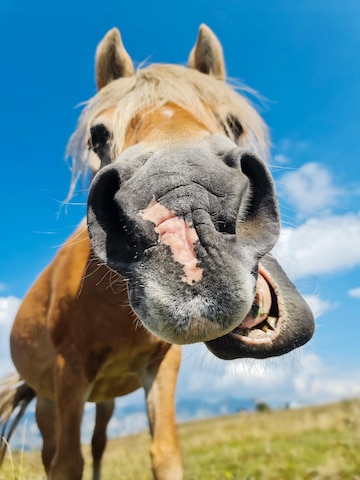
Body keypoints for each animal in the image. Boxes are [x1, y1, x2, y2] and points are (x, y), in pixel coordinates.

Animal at [0, 23, 314, 480]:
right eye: (98, 134)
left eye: (235, 123)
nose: (187, 205)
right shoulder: (68, 373)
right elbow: (67, 462)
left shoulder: (160, 370)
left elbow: (163, 453)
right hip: (49, 401)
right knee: (55, 452)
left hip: (104, 398)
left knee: (99, 443)